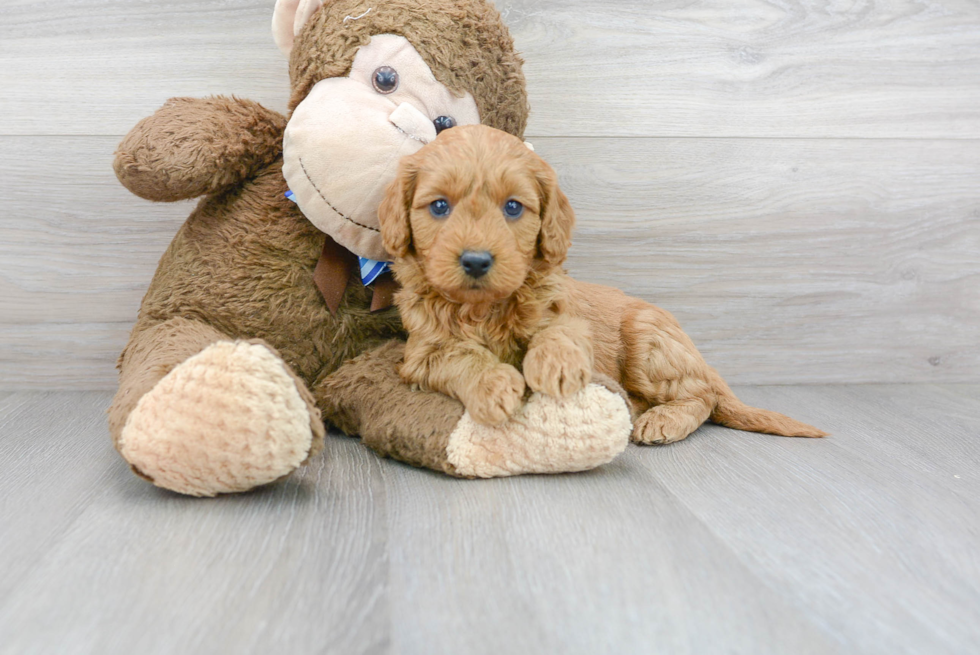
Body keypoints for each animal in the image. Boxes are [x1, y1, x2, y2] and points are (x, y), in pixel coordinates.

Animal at [378, 125, 824, 444]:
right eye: (439, 206)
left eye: (513, 207)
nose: (475, 260)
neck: (485, 307)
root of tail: (701, 360)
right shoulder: (423, 353)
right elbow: (462, 358)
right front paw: (493, 386)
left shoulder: (567, 314)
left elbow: (560, 333)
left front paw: (556, 367)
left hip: (649, 343)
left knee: (703, 396)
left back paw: (662, 420)